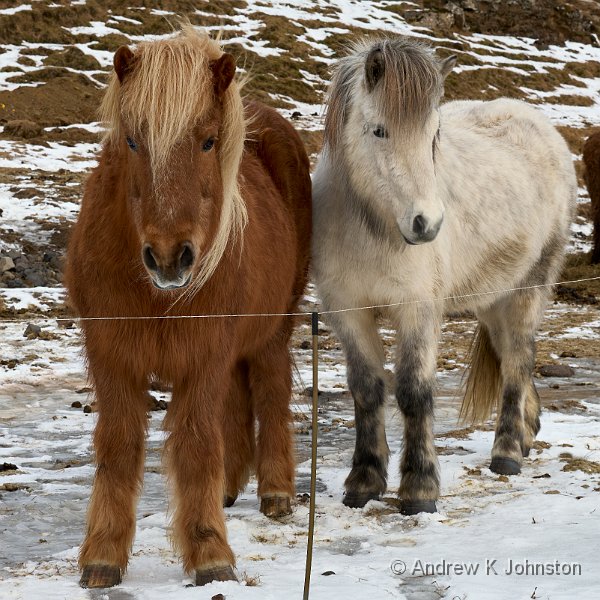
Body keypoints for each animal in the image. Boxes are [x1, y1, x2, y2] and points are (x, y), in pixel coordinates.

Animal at [65, 25, 312, 588]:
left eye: (207, 141)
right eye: (133, 141)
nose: (168, 256)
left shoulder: (203, 356)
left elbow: (198, 444)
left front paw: (210, 553)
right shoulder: (112, 358)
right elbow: (119, 446)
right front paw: (103, 554)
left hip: (272, 331)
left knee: (271, 392)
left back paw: (276, 491)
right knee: (237, 405)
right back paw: (231, 487)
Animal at [312, 38, 576, 516]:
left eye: (434, 136)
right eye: (378, 131)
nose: (427, 224)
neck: (370, 229)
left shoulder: (418, 310)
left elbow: (414, 392)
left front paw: (419, 489)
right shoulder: (347, 311)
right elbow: (366, 389)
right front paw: (364, 482)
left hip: (530, 288)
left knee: (518, 361)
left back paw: (508, 452)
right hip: (493, 298)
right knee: (509, 356)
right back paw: (527, 431)